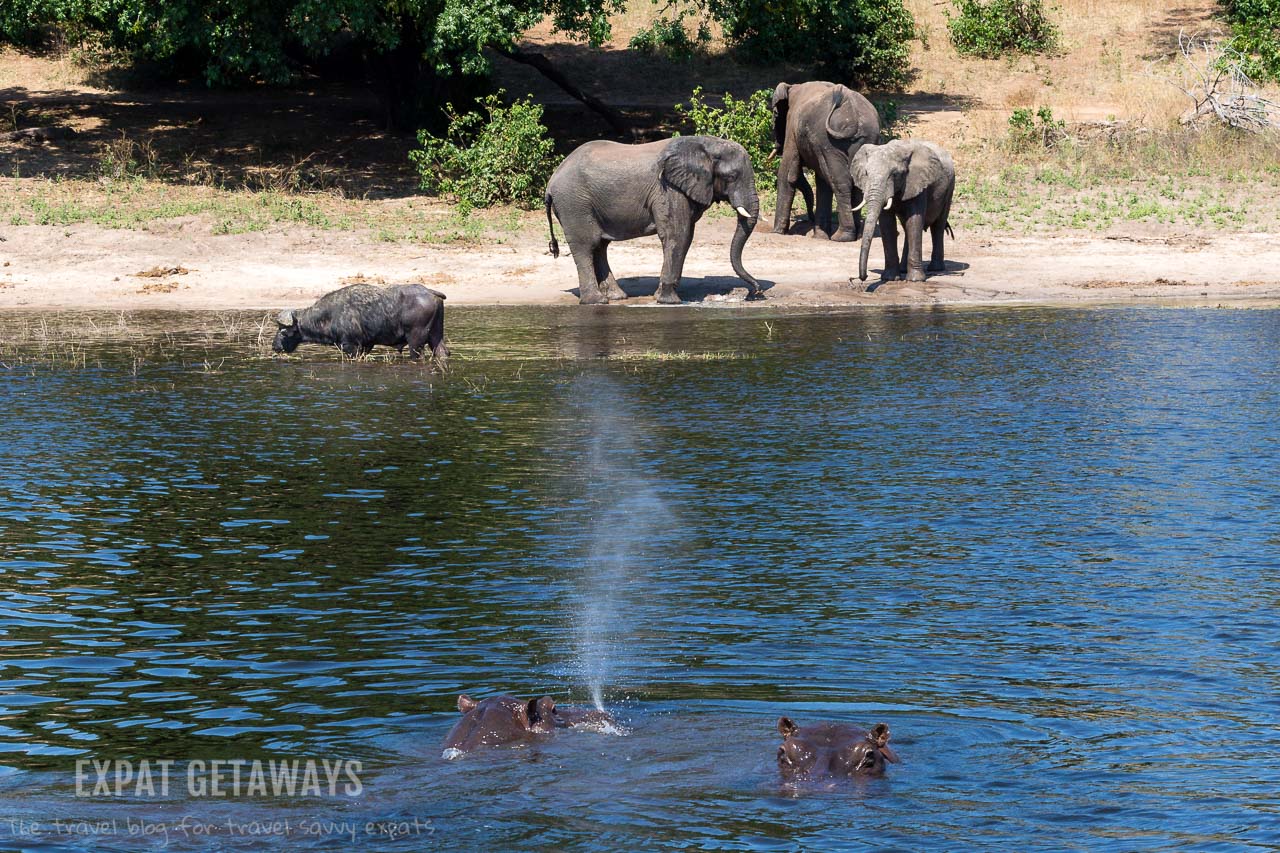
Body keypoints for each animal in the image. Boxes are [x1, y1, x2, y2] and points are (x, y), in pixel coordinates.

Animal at [272, 281, 448, 361]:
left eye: (282, 331)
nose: (274, 346)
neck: (329, 315)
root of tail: (429, 291)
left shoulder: (351, 347)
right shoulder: (366, 346)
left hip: (416, 342)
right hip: (435, 335)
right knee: (442, 353)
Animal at [542, 134, 757, 303]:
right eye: (731, 177)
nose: (754, 292)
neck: (706, 144)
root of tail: (551, 182)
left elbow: (685, 236)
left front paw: (660, 296)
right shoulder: (668, 189)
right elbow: (678, 235)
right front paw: (669, 301)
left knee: (599, 247)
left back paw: (617, 297)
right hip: (574, 203)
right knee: (586, 245)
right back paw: (596, 301)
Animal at [768, 81, 880, 240]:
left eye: (775, 114)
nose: (809, 219)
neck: (792, 87)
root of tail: (852, 110)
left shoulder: (792, 128)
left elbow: (788, 173)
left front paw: (777, 232)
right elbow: (821, 181)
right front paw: (819, 236)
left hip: (829, 141)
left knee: (840, 182)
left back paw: (841, 237)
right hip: (867, 138)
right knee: (851, 182)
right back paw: (856, 235)